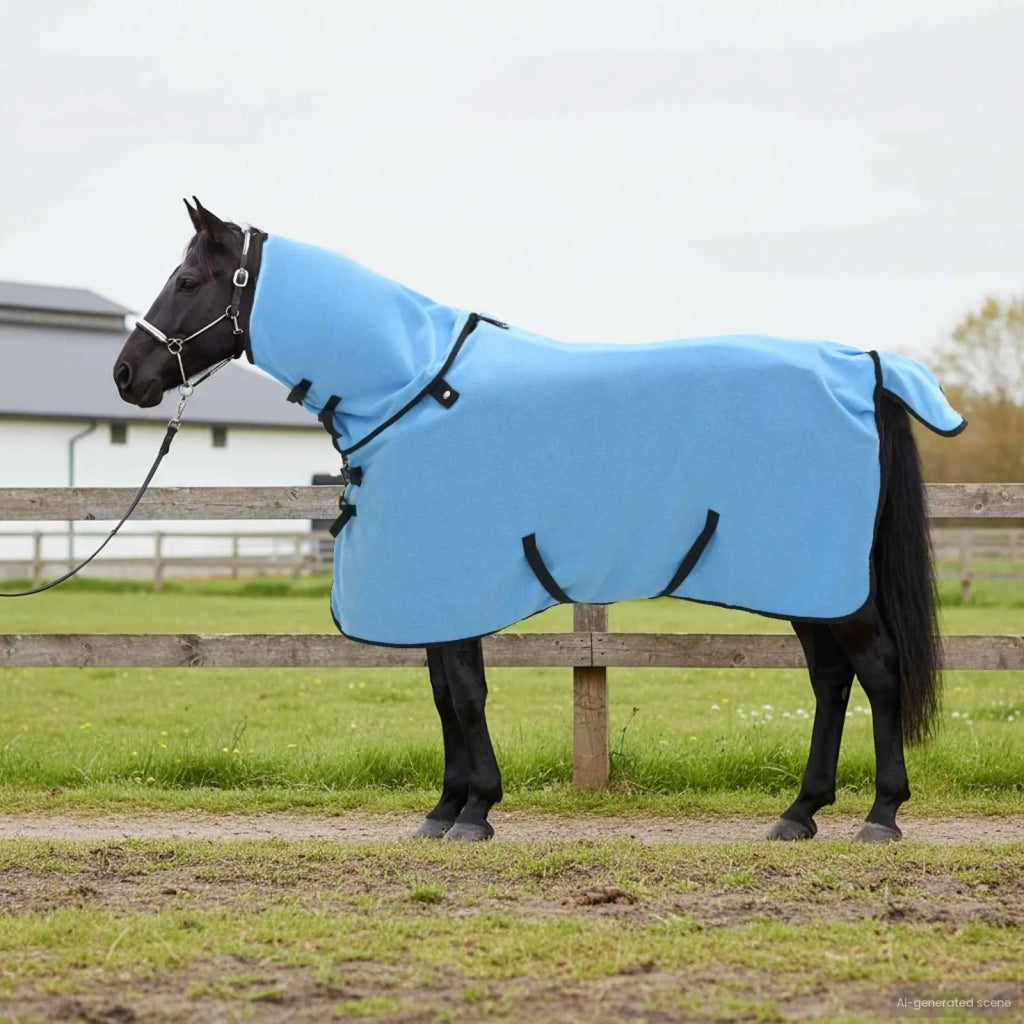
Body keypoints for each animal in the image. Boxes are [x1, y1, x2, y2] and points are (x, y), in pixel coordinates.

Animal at [113, 198, 965, 843]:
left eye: (186, 278)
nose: (127, 375)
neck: (414, 386)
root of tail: (863, 366)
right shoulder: (436, 593)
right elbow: (445, 694)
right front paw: (445, 808)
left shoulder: (455, 581)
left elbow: (463, 694)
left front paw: (475, 812)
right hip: (806, 584)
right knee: (831, 681)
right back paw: (800, 812)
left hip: (829, 585)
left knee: (877, 672)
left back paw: (881, 815)